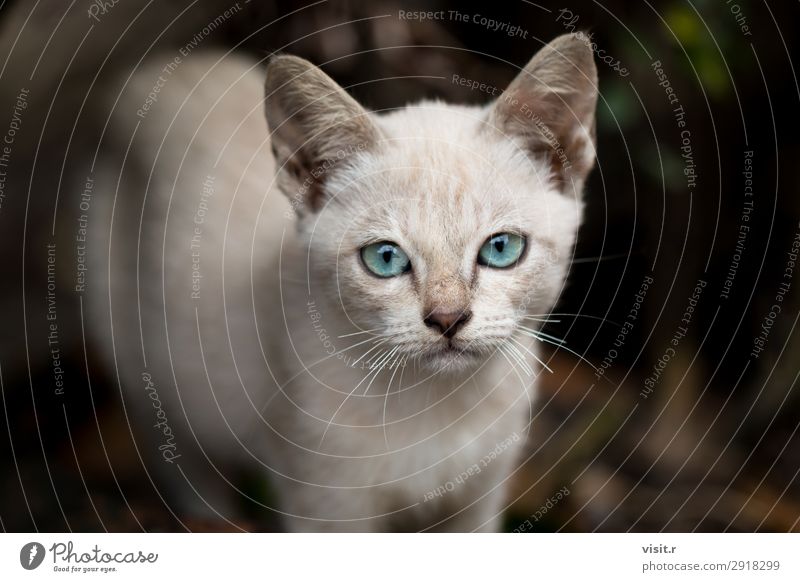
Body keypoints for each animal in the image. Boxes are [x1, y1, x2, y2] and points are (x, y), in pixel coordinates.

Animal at [84, 33, 596, 532]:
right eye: (385, 258)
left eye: (501, 249)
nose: (448, 319)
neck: (437, 404)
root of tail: (149, 70)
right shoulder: (327, 507)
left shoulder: (479, 501)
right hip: (153, 380)